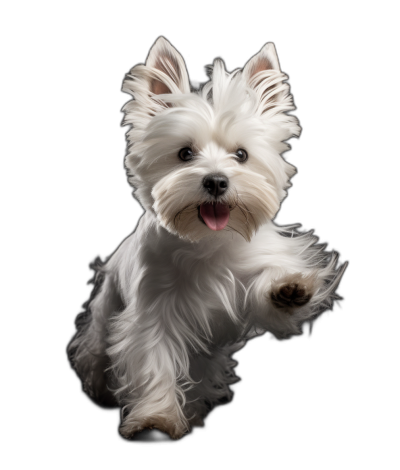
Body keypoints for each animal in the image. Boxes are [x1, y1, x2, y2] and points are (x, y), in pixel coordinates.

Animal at [68, 37, 344, 440]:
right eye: (184, 153)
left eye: (241, 154)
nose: (216, 181)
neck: (207, 243)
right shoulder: (153, 314)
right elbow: (155, 363)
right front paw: (156, 420)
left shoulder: (246, 279)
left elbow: (269, 289)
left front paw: (288, 289)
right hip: (105, 316)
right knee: (98, 355)